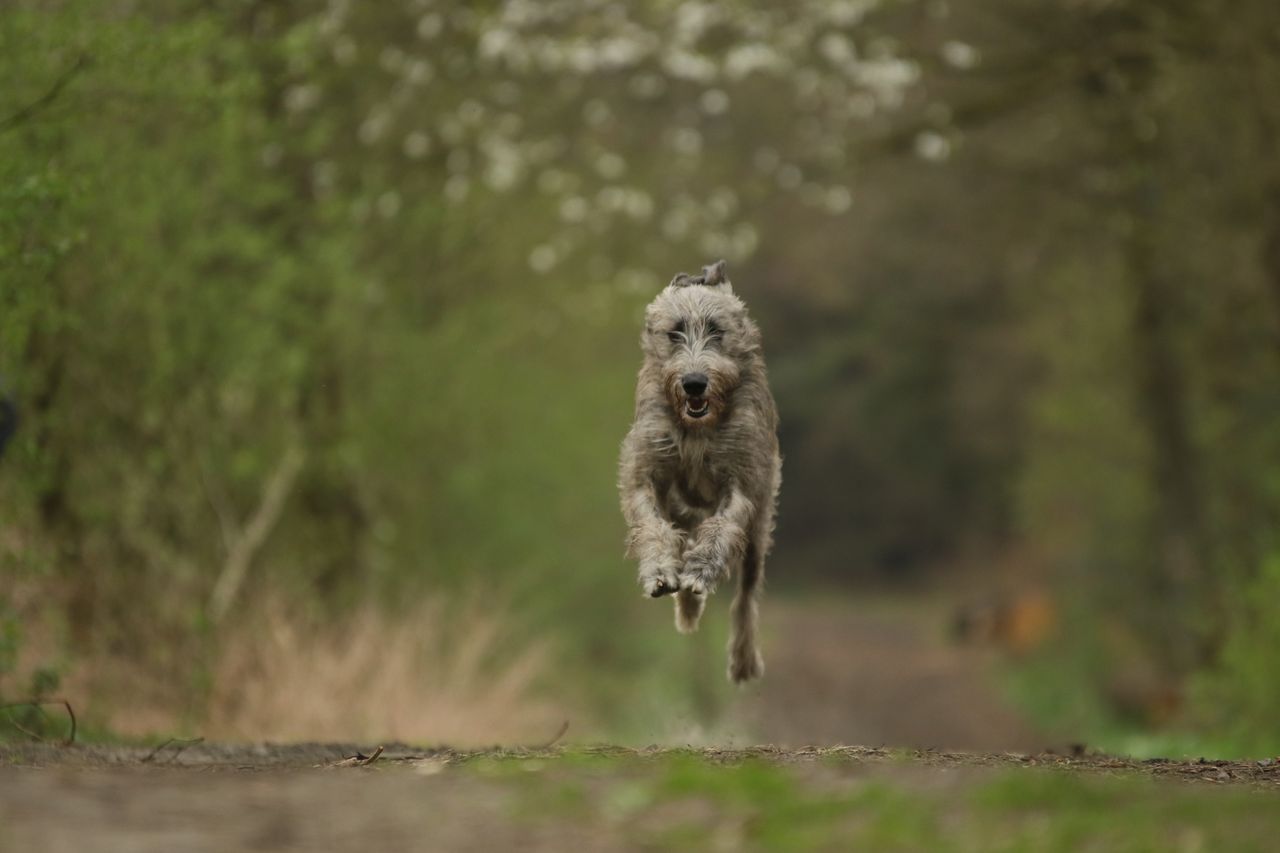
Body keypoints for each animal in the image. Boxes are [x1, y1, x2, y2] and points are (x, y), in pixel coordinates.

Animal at [616, 258, 778, 686]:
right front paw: (659, 572)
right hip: (682, 510)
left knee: (747, 592)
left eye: (717, 331)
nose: (693, 383)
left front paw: (701, 572)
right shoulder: (646, 469)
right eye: (674, 332)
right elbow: (652, 525)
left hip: (760, 523)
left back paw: (742, 659)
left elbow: (722, 529)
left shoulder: (742, 478)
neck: (698, 427)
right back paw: (687, 605)